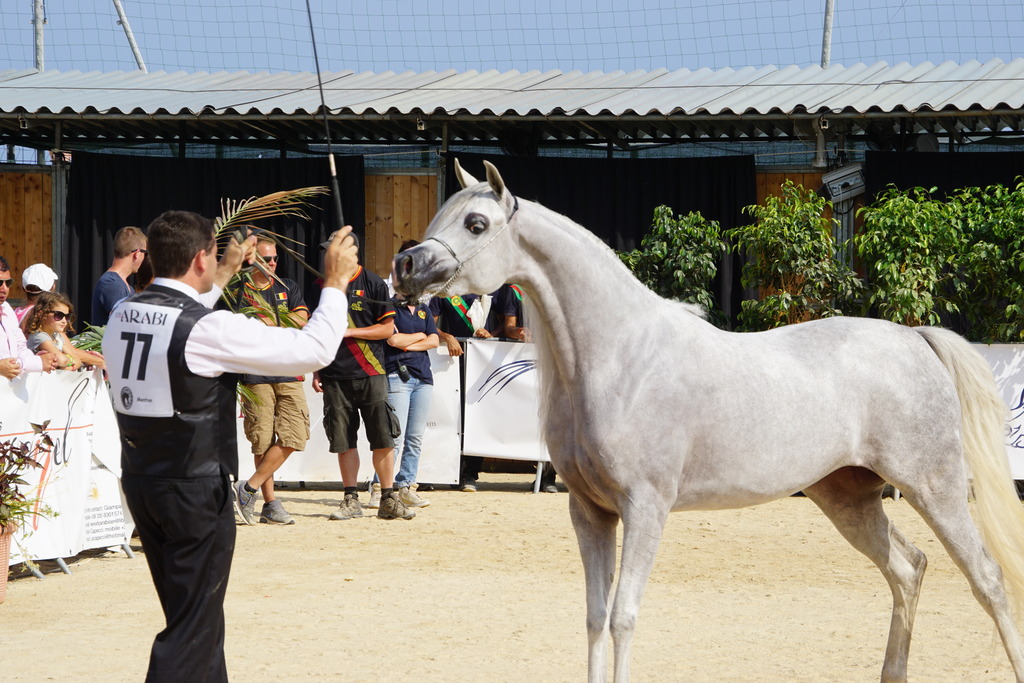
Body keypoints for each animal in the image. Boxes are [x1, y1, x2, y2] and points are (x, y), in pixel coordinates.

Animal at [392, 158, 1024, 683]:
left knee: (988, 579)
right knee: (908, 569)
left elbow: (623, 616)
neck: (622, 355)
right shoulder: (590, 512)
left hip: (935, 487)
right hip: (847, 498)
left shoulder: (646, 508)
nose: (405, 266)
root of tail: (914, 338)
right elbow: (594, 617)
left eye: (476, 223)